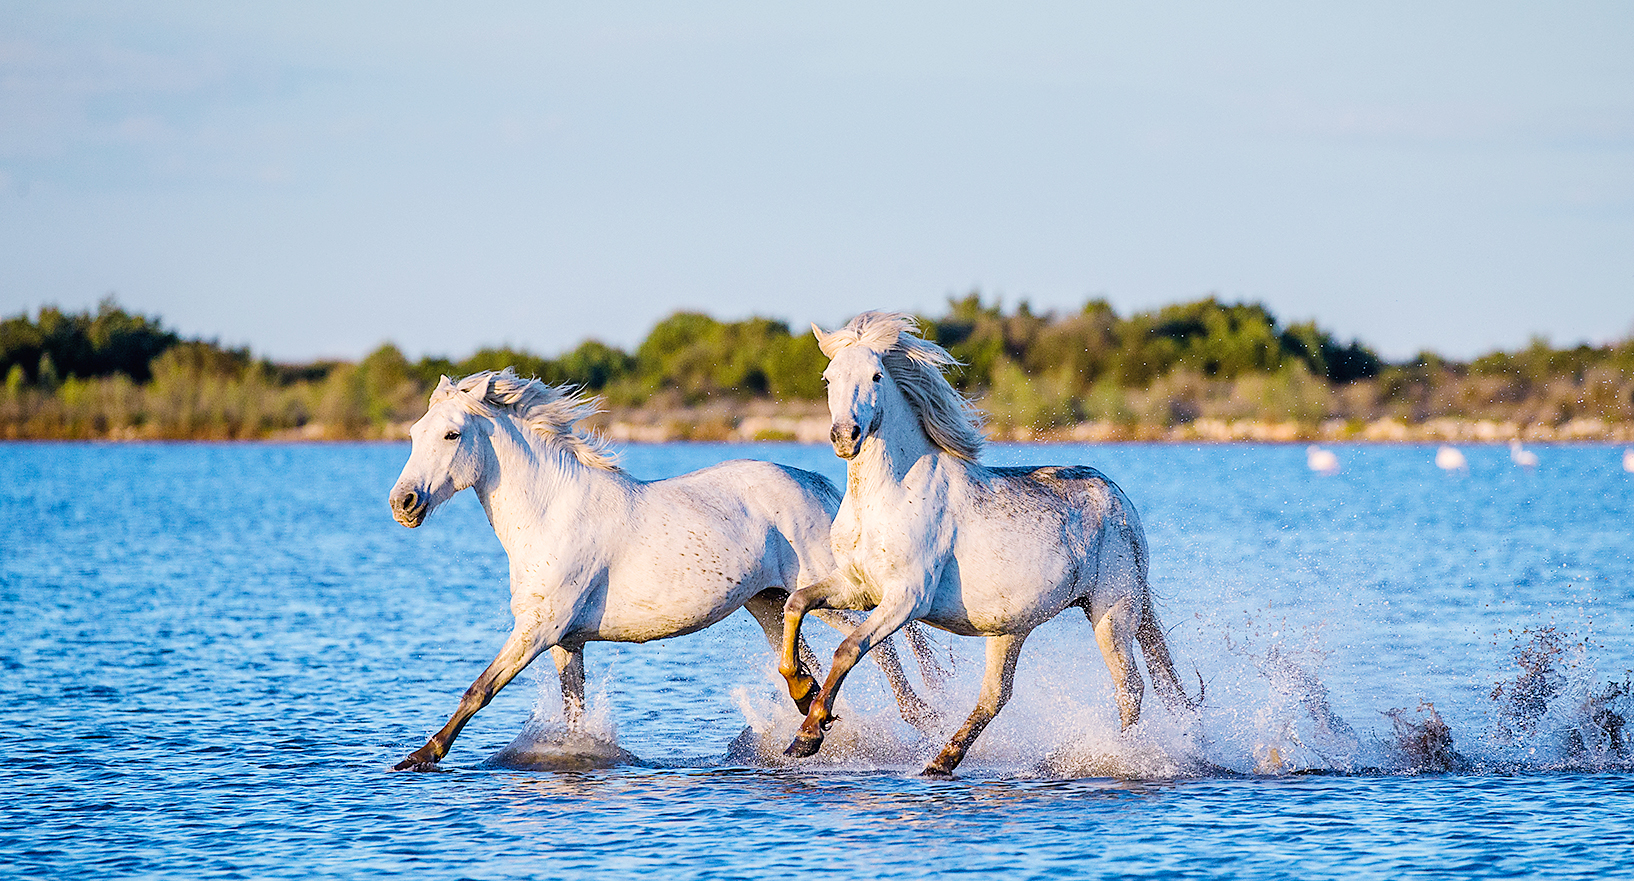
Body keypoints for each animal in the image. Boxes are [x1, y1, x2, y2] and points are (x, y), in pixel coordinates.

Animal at [385, 369, 947, 768]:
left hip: (825, 591)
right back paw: (810, 703)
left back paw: (917, 717)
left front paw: (420, 756)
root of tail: (814, 483)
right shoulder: (567, 642)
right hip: (766, 601)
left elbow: (479, 689)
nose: (403, 503)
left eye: (452, 435)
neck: (550, 513)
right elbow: (573, 711)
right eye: (414, 432)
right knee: (804, 651)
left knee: (882, 647)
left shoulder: (538, 631)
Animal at [771, 313, 1196, 774]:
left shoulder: (906, 599)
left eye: (876, 375)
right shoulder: (858, 588)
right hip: (1011, 628)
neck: (888, 496)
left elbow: (848, 649)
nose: (845, 436)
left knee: (1129, 686)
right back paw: (941, 761)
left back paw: (1122, 757)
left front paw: (809, 733)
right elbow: (795, 604)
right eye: (828, 378)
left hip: (1111, 609)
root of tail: (1121, 500)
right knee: (996, 697)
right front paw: (801, 692)